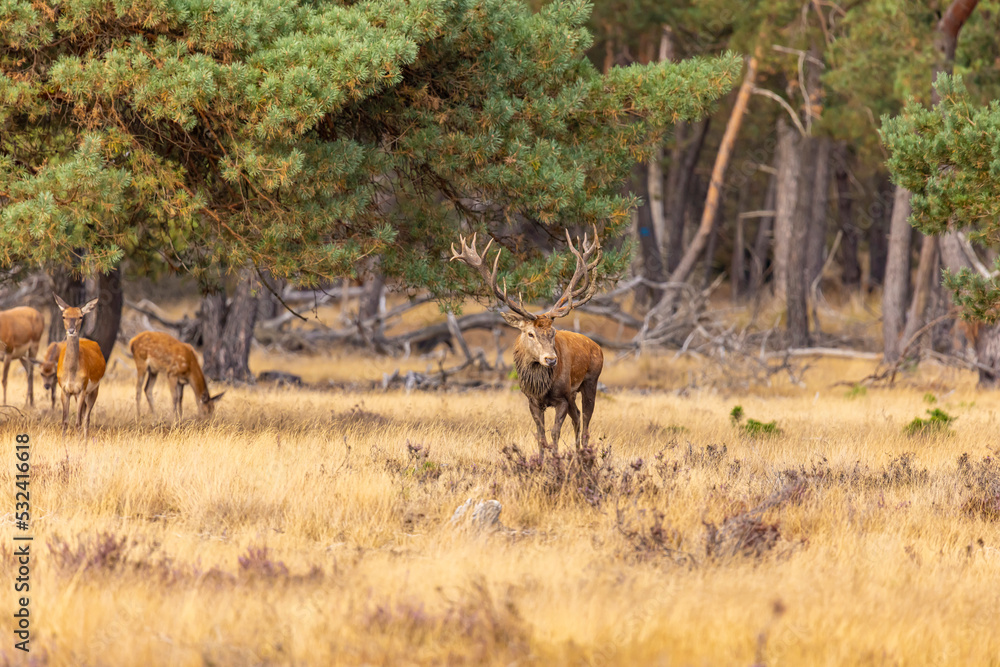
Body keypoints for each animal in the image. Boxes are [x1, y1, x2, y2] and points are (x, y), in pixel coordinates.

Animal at [53, 295, 106, 439]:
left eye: (80, 316)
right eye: (64, 316)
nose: (71, 331)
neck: (71, 373)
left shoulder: (82, 388)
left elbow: (78, 422)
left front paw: (78, 442)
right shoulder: (64, 390)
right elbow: (65, 422)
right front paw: (63, 441)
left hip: (94, 389)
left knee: (86, 418)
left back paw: (85, 440)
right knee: (83, 416)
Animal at [451, 228, 604, 451]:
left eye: (553, 332)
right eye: (530, 333)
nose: (551, 359)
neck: (541, 388)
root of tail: (598, 347)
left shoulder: (562, 397)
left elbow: (554, 433)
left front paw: (555, 458)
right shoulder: (532, 400)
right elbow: (541, 435)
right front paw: (541, 459)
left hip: (591, 380)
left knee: (585, 422)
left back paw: (583, 453)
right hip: (573, 393)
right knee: (577, 418)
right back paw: (577, 454)